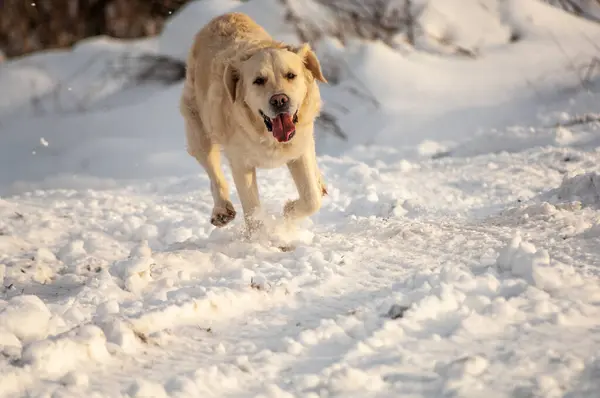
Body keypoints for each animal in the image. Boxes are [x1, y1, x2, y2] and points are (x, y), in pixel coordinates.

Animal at [179, 12, 328, 232]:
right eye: (258, 80)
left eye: (291, 75)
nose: (279, 100)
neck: (267, 136)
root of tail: (223, 15)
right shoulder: (241, 163)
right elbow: (253, 211)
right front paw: (264, 236)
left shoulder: (298, 150)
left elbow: (312, 198)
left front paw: (289, 210)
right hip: (199, 131)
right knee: (214, 174)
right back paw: (221, 210)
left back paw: (320, 182)